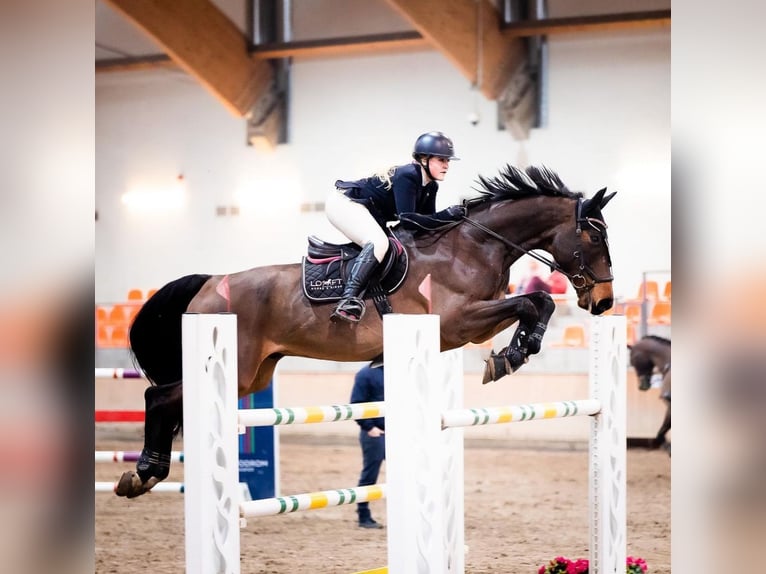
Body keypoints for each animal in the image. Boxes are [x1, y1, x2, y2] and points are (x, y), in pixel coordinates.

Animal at [115, 164, 616, 498]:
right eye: (594, 237)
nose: (605, 302)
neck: (474, 245)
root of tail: (209, 283)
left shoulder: (467, 329)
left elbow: (538, 303)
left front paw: (515, 352)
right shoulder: (458, 322)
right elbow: (532, 301)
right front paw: (511, 356)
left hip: (253, 375)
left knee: (169, 399)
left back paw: (144, 474)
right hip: (231, 367)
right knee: (158, 396)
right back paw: (142, 473)